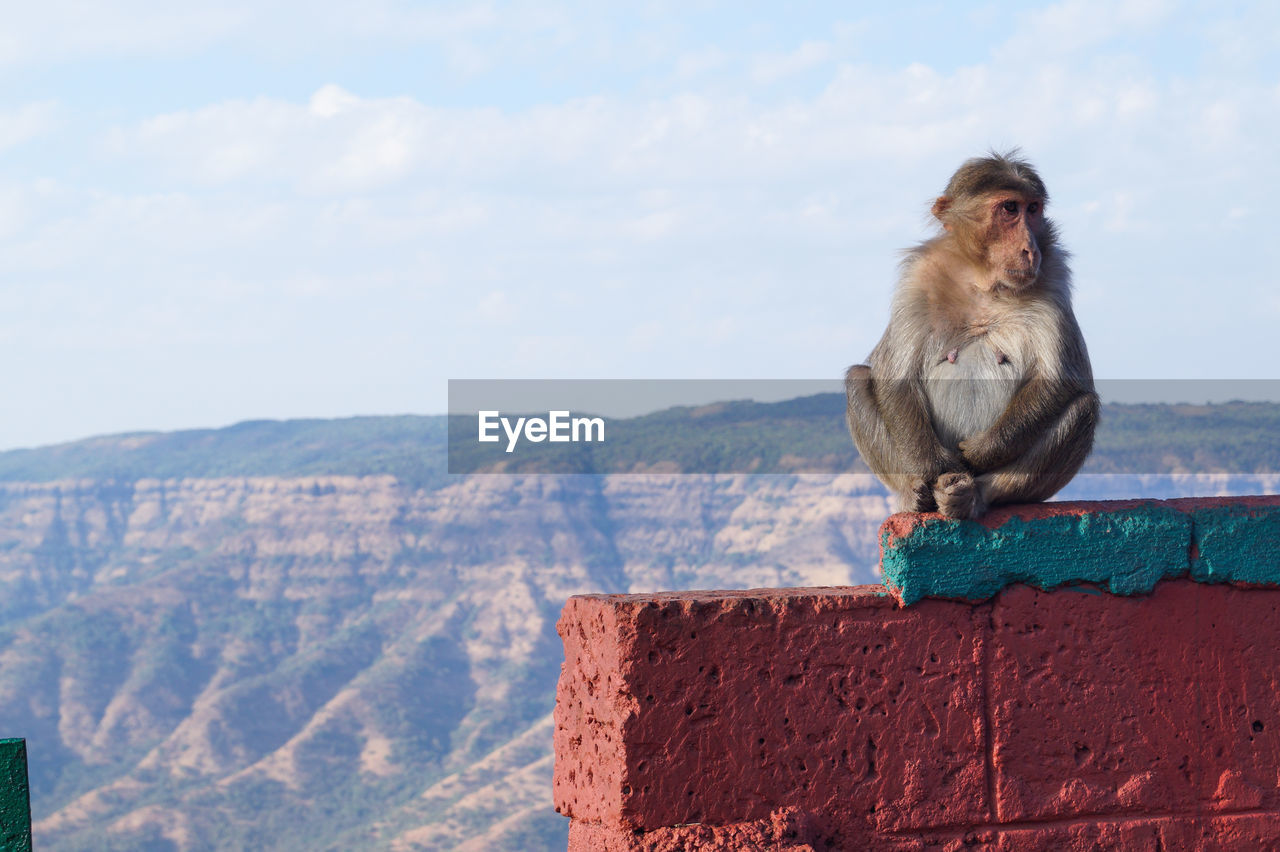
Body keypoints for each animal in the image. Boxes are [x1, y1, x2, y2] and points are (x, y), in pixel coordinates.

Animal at [849, 150, 1100, 516]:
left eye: (1033, 209)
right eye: (1009, 208)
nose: (1030, 248)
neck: (983, 279)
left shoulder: (1053, 272)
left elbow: (1060, 379)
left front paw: (979, 452)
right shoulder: (918, 275)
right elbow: (895, 376)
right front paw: (937, 467)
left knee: (1083, 406)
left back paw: (973, 495)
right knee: (857, 377)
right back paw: (916, 493)